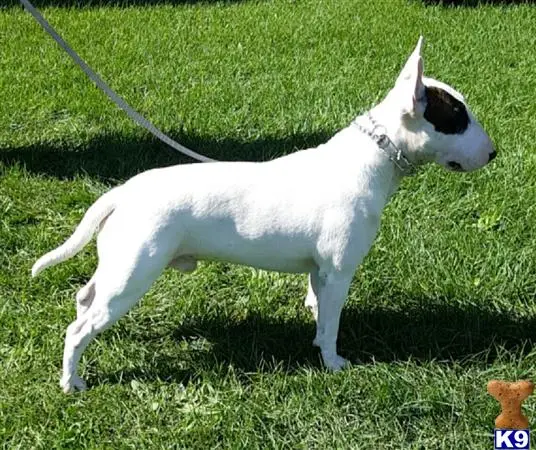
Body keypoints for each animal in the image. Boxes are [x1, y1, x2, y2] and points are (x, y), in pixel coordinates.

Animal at [31, 37, 496, 392]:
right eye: (457, 117)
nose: (493, 153)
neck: (372, 157)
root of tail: (122, 192)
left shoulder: (320, 270)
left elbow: (318, 309)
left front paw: (316, 339)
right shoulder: (339, 270)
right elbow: (331, 322)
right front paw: (333, 362)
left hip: (117, 265)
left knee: (85, 299)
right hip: (134, 271)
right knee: (78, 330)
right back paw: (72, 382)